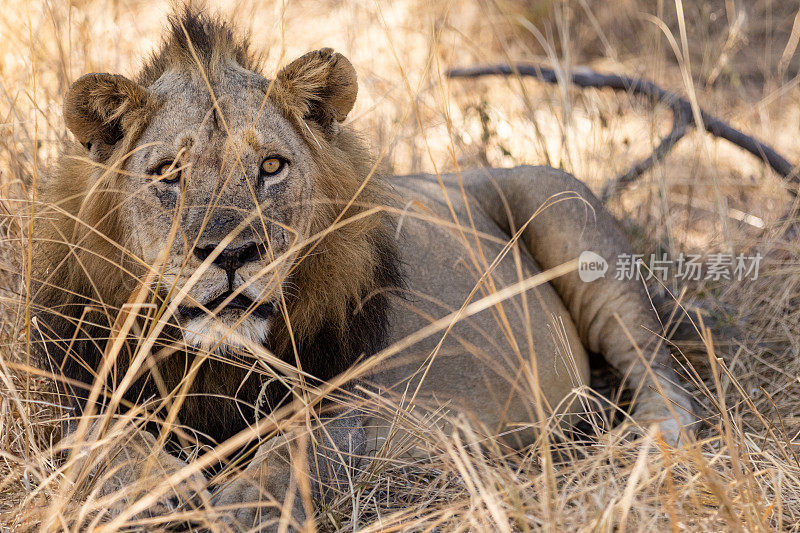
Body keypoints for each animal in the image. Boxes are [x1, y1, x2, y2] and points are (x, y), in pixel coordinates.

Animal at [32, 9, 692, 532]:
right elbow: (98, 438)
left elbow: (310, 440)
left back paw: (642, 442)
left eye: (271, 167)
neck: (217, 361)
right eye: (169, 174)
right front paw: (152, 491)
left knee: (660, 374)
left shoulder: (425, 415)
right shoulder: (62, 393)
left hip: (570, 221)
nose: (230, 253)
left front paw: (248, 501)